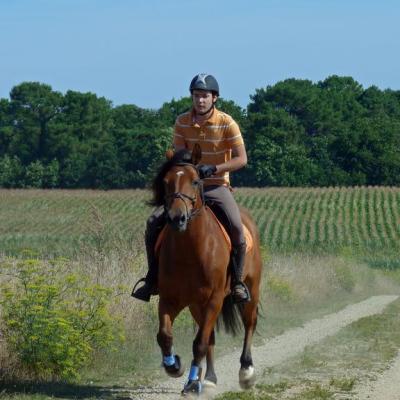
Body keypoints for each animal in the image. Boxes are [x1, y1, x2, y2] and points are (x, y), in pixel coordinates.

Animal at [153, 144, 262, 394]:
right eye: (165, 181)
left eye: (195, 181)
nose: (177, 218)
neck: (190, 250)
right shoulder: (170, 299)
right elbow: (165, 336)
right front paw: (175, 366)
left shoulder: (214, 299)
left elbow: (200, 343)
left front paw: (192, 383)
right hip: (196, 304)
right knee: (210, 335)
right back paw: (209, 378)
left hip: (251, 288)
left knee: (249, 323)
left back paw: (246, 372)